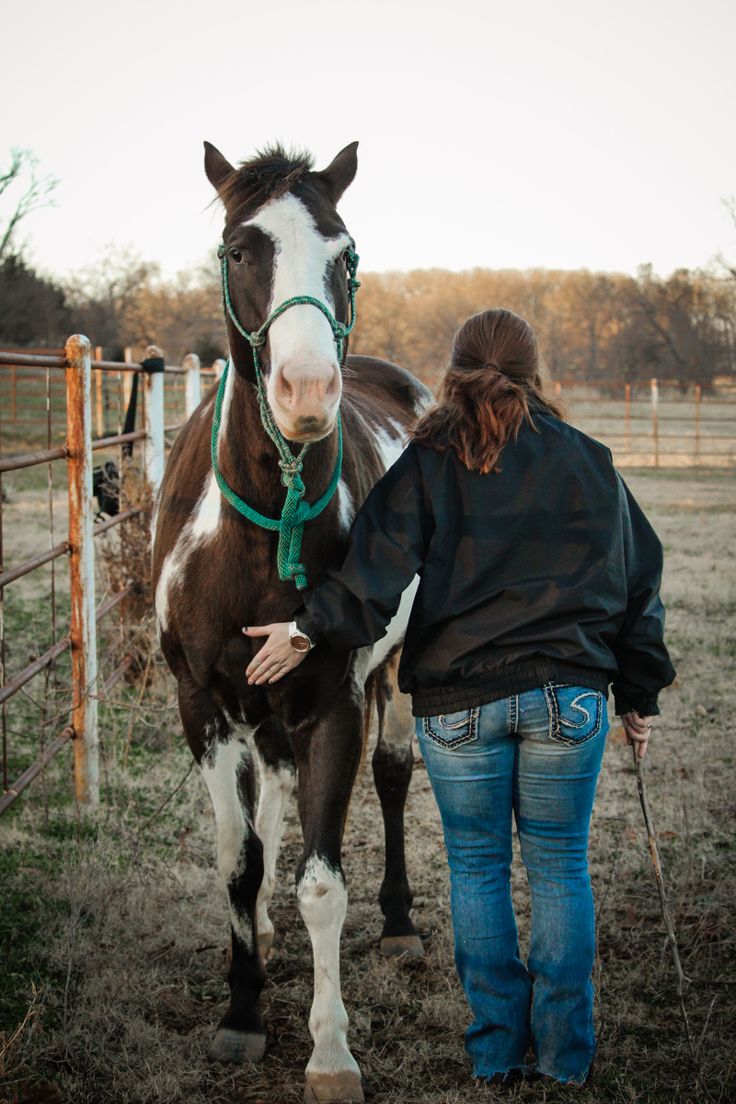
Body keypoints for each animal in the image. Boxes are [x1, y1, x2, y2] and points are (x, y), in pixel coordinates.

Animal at [153, 144, 434, 1104]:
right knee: (266, 804)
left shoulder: (332, 706)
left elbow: (321, 883)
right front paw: (242, 1012)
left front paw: (329, 1050)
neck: (260, 532)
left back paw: (399, 922)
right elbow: (238, 864)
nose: (307, 390)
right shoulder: (205, 707)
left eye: (344, 254)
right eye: (239, 249)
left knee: (393, 774)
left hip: (395, 671)